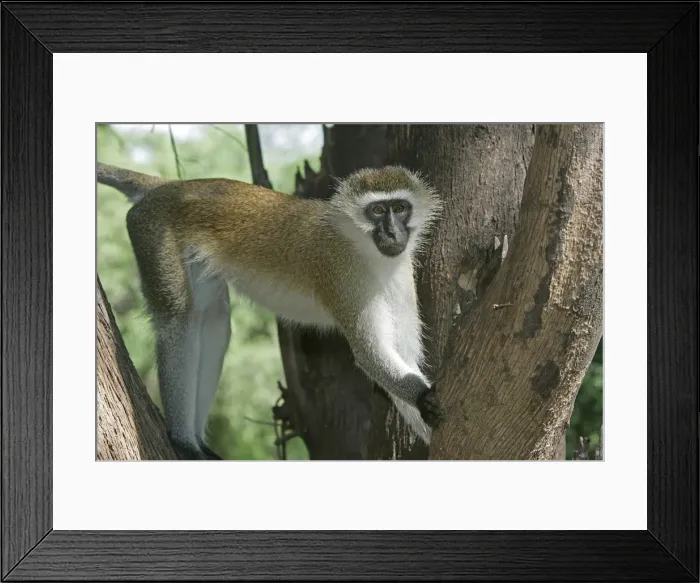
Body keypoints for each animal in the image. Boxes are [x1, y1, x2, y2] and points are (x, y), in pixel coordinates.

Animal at [96, 161, 446, 460]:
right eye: (377, 210)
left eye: (399, 208)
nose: (393, 232)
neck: (363, 248)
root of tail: (171, 186)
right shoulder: (343, 275)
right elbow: (370, 355)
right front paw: (423, 397)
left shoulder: (401, 275)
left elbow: (403, 355)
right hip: (153, 230)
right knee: (180, 319)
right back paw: (184, 443)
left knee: (212, 321)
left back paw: (197, 441)